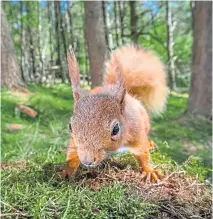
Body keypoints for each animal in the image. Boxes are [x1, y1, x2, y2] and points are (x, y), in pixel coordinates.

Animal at [62, 45, 169, 183]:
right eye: (70, 126)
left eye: (116, 129)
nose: (87, 160)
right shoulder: (74, 141)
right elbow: (72, 151)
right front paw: (68, 169)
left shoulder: (136, 132)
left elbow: (143, 153)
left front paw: (150, 171)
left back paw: (150, 143)